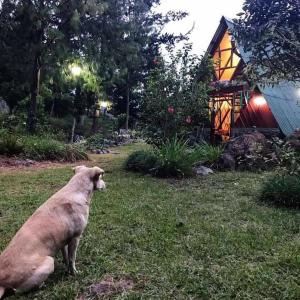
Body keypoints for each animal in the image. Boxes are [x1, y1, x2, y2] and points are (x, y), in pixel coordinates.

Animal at [0, 166, 105, 298]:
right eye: (101, 177)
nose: (106, 185)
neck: (76, 191)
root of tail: (2, 281)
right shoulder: (75, 238)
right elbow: (72, 258)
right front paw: (74, 273)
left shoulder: (64, 241)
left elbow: (66, 257)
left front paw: (66, 267)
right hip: (49, 262)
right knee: (17, 291)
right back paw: (42, 285)